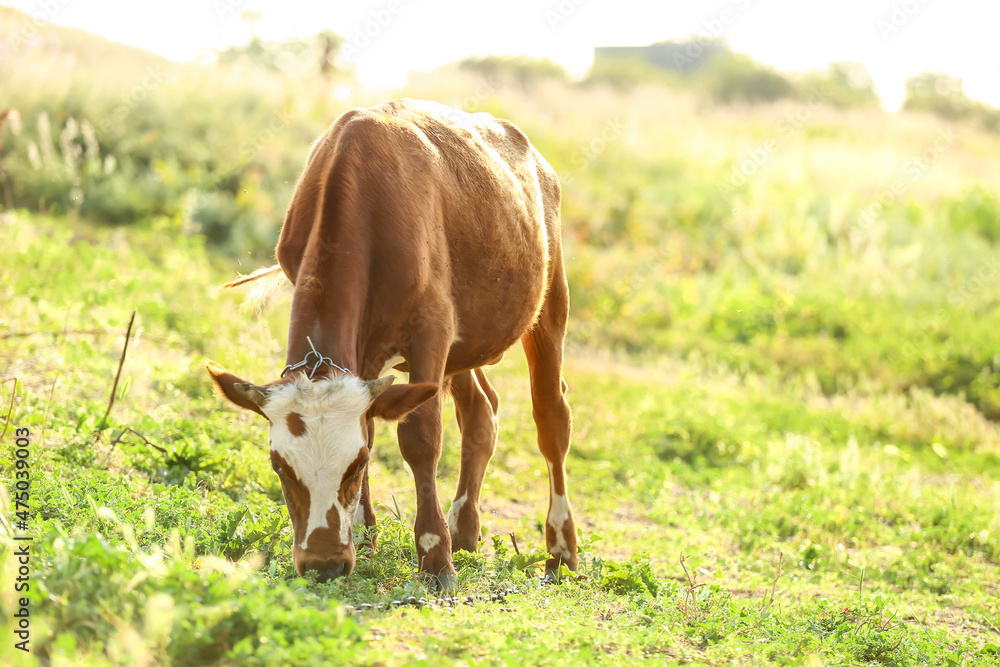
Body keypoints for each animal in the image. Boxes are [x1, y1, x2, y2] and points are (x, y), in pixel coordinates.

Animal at [205, 99, 580, 588]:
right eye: (279, 467)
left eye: (357, 464)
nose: (323, 565)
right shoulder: (367, 347)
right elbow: (370, 421)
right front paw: (365, 538)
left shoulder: (432, 327)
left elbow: (419, 436)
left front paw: (435, 557)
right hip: (466, 341)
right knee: (481, 411)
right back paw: (464, 530)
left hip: (550, 301)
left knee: (552, 417)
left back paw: (561, 549)